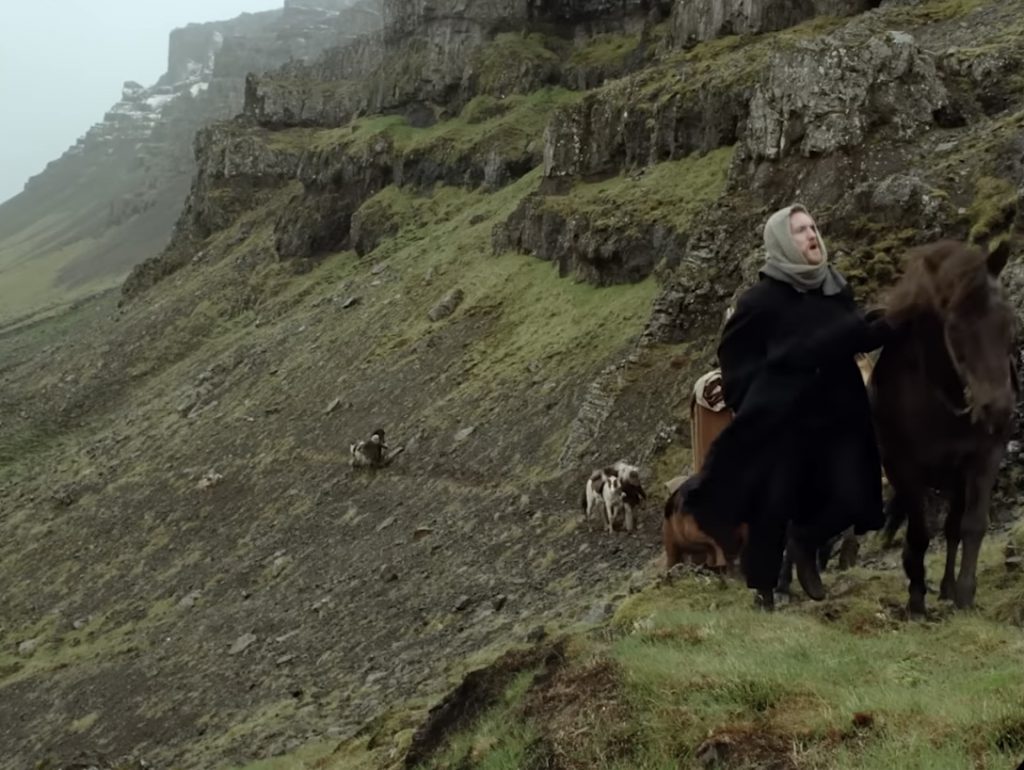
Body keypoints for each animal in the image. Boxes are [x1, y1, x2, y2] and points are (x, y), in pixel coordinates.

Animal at [870, 238, 1019, 616]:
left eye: (1008, 320)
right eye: (954, 326)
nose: (998, 409)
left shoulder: (983, 458)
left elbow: (972, 526)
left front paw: (964, 595)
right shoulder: (904, 469)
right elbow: (920, 535)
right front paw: (916, 598)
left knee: (953, 528)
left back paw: (949, 587)